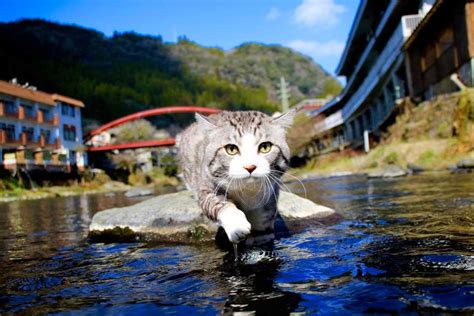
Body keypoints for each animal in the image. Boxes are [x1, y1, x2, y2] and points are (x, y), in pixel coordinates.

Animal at [178, 110, 294, 246]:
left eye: (265, 147)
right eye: (231, 149)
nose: (250, 166)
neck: (248, 191)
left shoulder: (271, 190)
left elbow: (264, 219)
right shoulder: (208, 184)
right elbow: (217, 202)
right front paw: (236, 225)